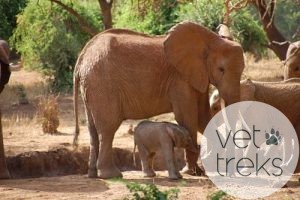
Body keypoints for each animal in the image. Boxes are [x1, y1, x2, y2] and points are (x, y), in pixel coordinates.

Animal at [74, 21, 245, 179]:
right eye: (221, 69)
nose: (231, 172)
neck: (210, 40)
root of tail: (82, 57)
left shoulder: (198, 75)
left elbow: (203, 117)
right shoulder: (180, 79)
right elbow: (188, 118)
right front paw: (193, 173)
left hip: (91, 87)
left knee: (92, 129)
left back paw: (92, 175)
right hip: (102, 85)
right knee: (108, 128)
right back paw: (111, 175)